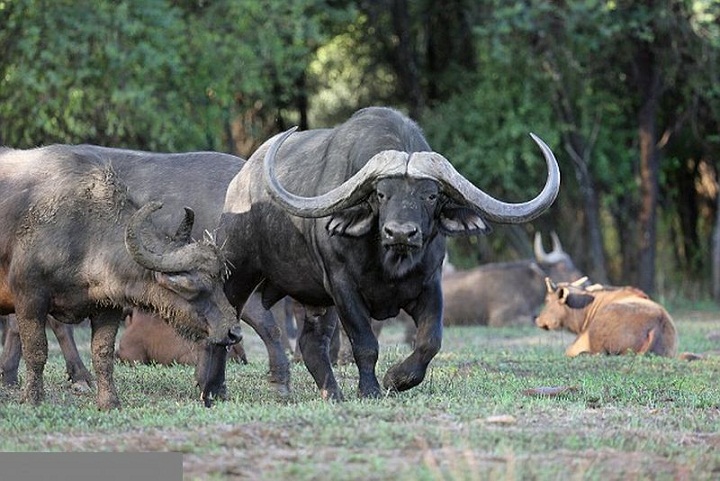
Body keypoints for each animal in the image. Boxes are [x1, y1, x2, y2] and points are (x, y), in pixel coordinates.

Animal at [202, 106, 564, 402]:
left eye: (431, 195)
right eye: (380, 193)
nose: (401, 232)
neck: (389, 264)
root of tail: (241, 181)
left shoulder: (429, 285)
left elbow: (430, 341)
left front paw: (397, 379)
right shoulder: (343, 286)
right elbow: (365, 342)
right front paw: (370, 389)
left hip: (314, 297)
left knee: (311, 343)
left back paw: (332, 394)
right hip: (238, 269)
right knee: (225, 324)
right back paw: (212, 388)